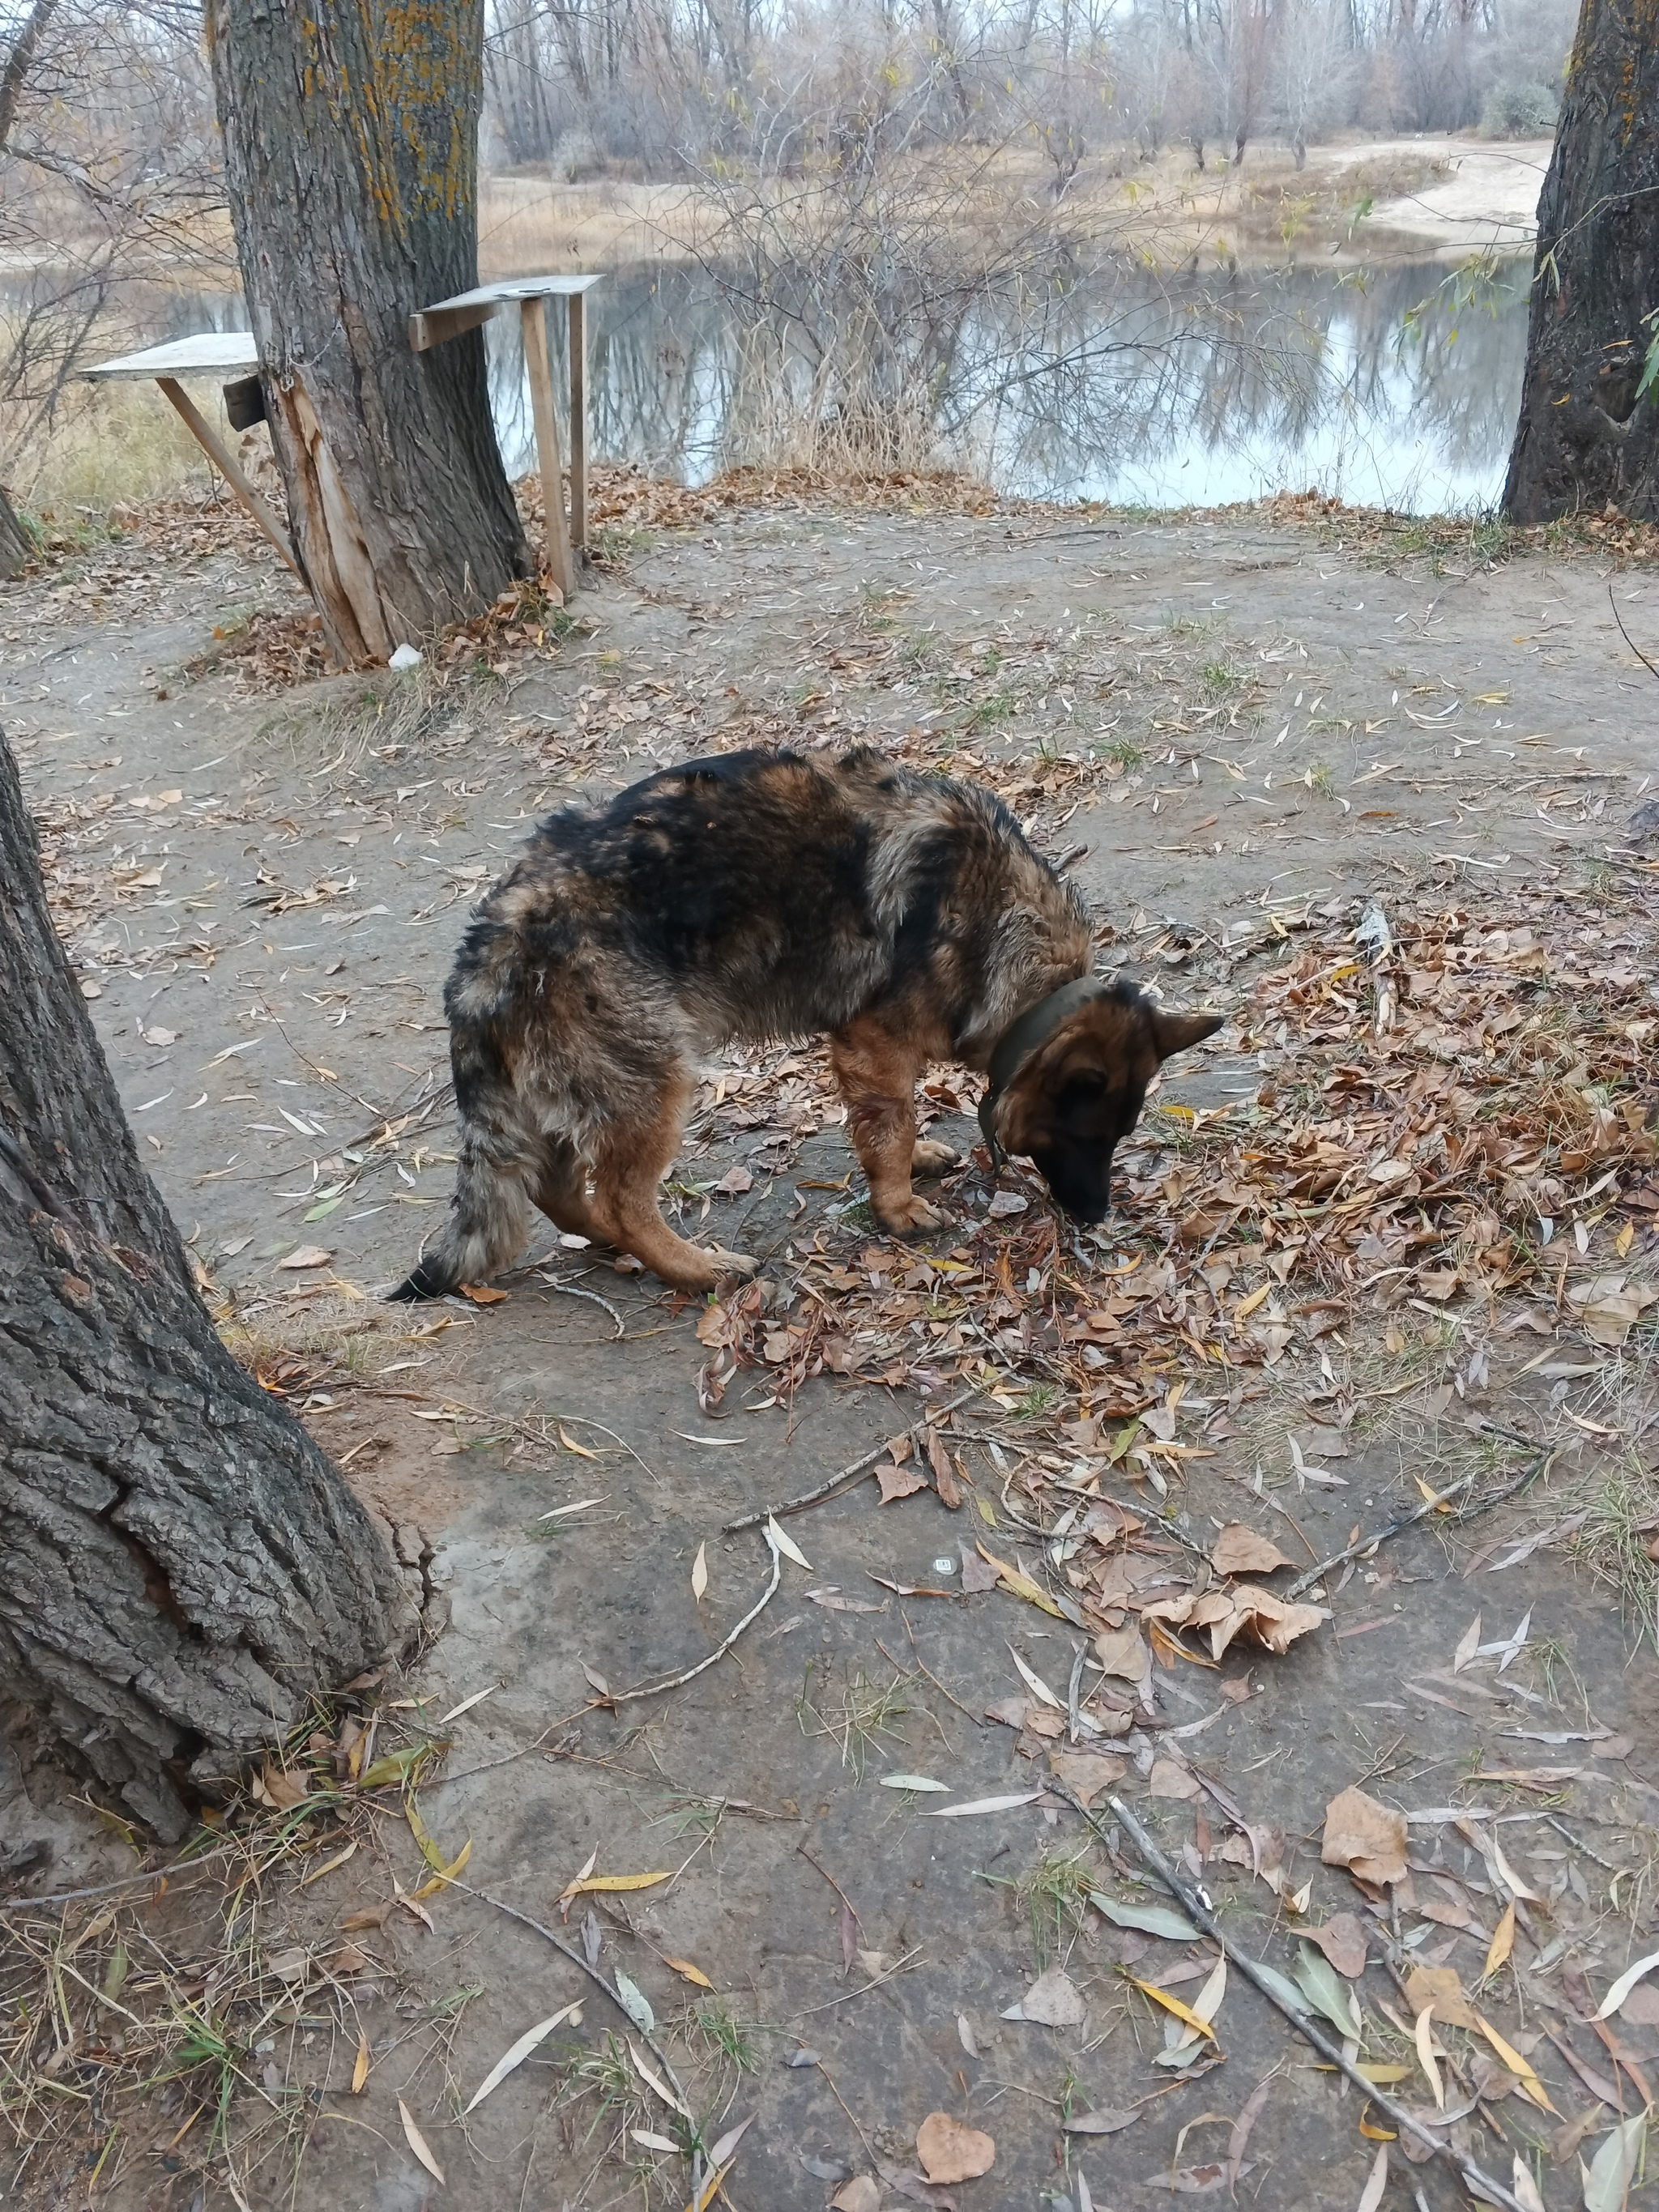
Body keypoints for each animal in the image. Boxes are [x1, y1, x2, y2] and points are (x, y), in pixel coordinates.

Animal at [389, 748, 1221, 1291]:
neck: (997, 917)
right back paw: (696, 1268)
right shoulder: (873, 1045)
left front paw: (919, 1162)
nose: (1098, 1216)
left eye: (1117, 1138)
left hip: (589, 1088)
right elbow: (891, 1126)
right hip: (655, 1082)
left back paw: (605, 1239)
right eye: (1083, 1137)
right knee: (623, 1199)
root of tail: (490, 937)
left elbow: (900, 1121)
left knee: (563, 1190)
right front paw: (897, 1205)